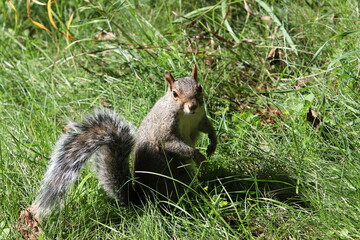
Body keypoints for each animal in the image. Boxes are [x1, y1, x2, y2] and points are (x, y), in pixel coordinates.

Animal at [27, 65, 217, 219]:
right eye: (175, 94)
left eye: (199, 88)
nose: (192, 106)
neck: (186, 116)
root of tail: (141, 198)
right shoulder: (165, 129)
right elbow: (173, 144)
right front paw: (198, 156)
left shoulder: (200, 119)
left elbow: (208, 127)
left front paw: (212, 144)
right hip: (174, 176)